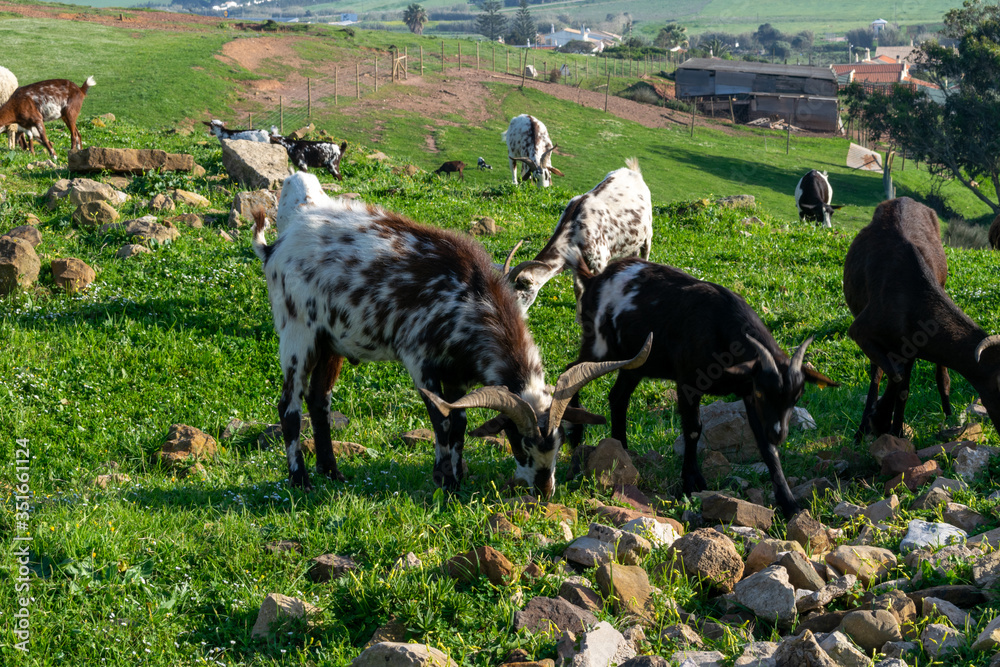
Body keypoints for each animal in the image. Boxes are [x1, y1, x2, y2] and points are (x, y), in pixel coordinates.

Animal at [506, 158, 652, 316]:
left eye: (520, 294)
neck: (574, 229)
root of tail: (633, 171)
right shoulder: (576, 263)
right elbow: (578, 289)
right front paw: (578, 316)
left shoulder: (600, 261)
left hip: (648, 235)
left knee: (645, 253)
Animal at [566, 256, 838, 518]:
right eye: (763, 392)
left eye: (797, 397)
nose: (779, 434)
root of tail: (593, 279)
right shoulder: (689, 382)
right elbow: (694, 429)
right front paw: (691, 481)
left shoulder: (748, 392)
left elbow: (766, 446)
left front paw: (790, 504)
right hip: (600, 347)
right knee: (572, 371)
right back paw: (576, 436)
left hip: (636, 362)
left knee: (618, 397)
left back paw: (621, 447)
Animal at [844, 197, 1000, 441]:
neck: (911, 301)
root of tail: (901, 199)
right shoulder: (861, 330)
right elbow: (895, 376)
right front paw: (878, 420)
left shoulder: (909, 347)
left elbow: (904, 387)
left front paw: (894, 430)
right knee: (876, 374)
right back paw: (861, 430)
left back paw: (945, 415)